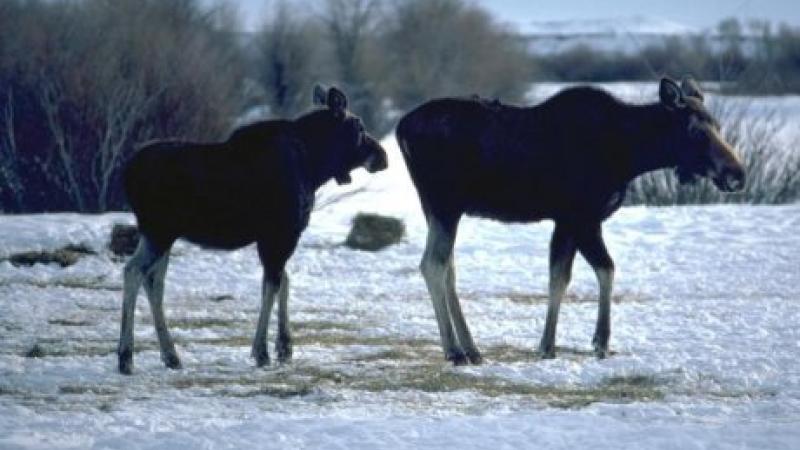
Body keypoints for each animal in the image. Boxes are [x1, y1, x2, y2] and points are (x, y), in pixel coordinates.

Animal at [118, 84, 388, 372]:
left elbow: (283, 282)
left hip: (160, 233)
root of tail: (126, 174)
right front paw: (262, 351)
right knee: (134, 271)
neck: (315, 167)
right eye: (359, 127)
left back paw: (170, 355)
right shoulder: (281, 233)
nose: (384, 156)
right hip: (159, 231)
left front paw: (285, 347)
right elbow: (272, 287)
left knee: (154, 281)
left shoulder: (275, 237)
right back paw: (126, 356)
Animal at [396, 77, 748, 364]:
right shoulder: (582, 217)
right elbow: (605, 269)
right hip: (445, 203)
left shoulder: (566, 221)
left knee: (448, 268)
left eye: (717, 125)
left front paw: (547, 346)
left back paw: (471, 348)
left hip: (438, 208)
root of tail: (401, 128)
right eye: (695, 130)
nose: (738, 174)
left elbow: (559, 279)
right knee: (433, 264)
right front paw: (600, 342)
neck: (629, 155)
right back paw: (454, 351)